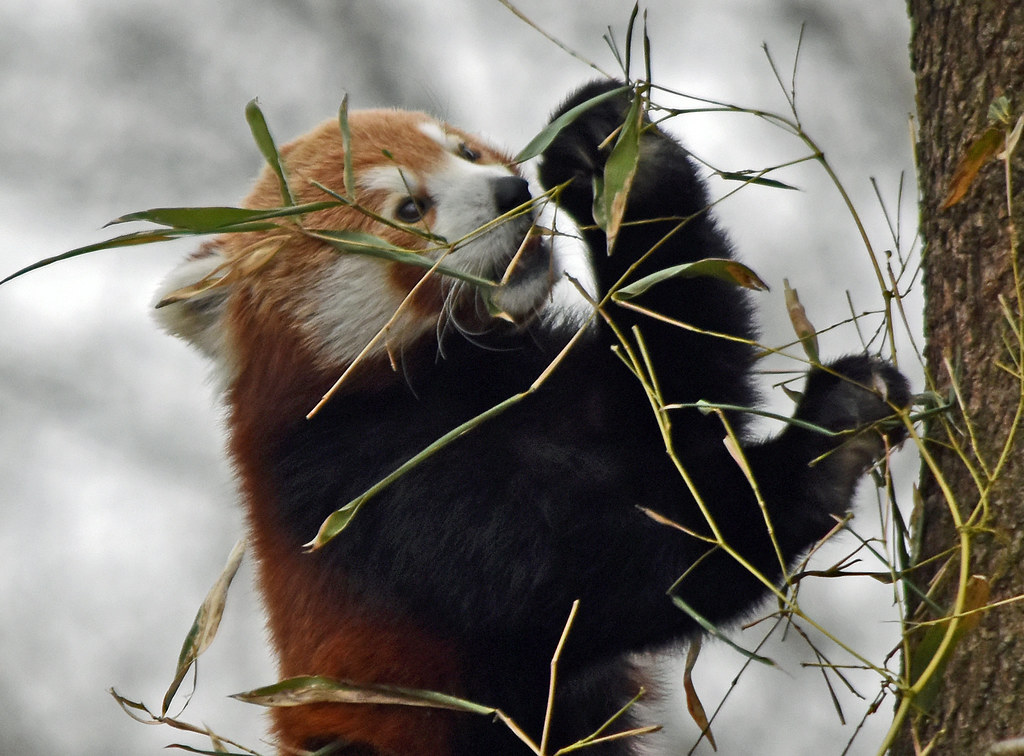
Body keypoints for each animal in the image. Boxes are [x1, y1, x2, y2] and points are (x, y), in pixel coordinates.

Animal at [155, 80, 910, 755]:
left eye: (465, 151)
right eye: (410, 208)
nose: (508, 194)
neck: (458, 378)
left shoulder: (558, 383)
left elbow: (680, 380)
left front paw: (612, 149)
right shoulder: (357, 484)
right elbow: (577, 580)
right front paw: (813, 454)